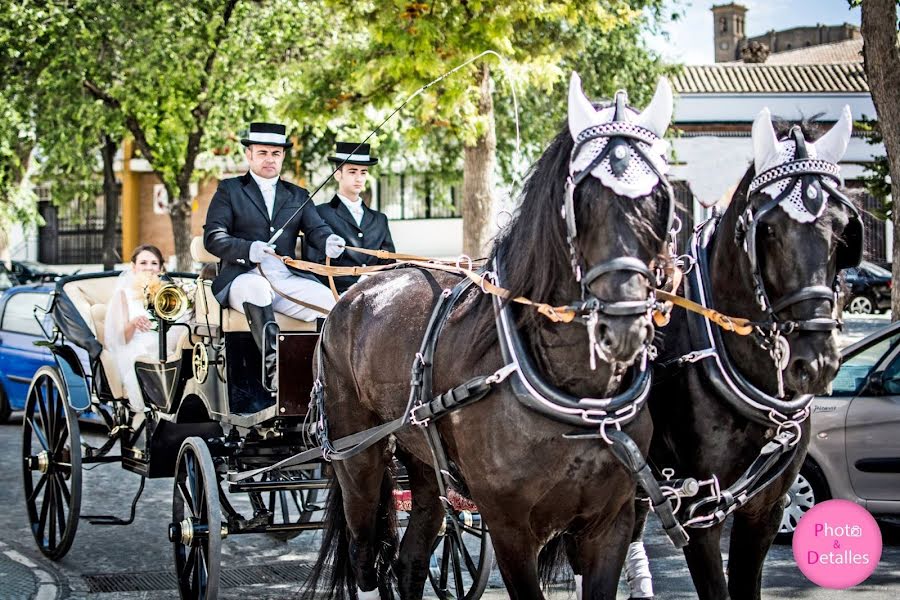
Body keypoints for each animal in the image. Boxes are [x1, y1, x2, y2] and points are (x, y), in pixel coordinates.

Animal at [300, 75, 676, 600]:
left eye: (661, 200)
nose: (624, 322)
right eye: (581, 199)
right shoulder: (510, 528)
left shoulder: (611, 524)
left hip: (423, 461)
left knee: (410, 557)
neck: (575, 393)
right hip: (356, 456)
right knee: (364, 558)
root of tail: (351, 296)